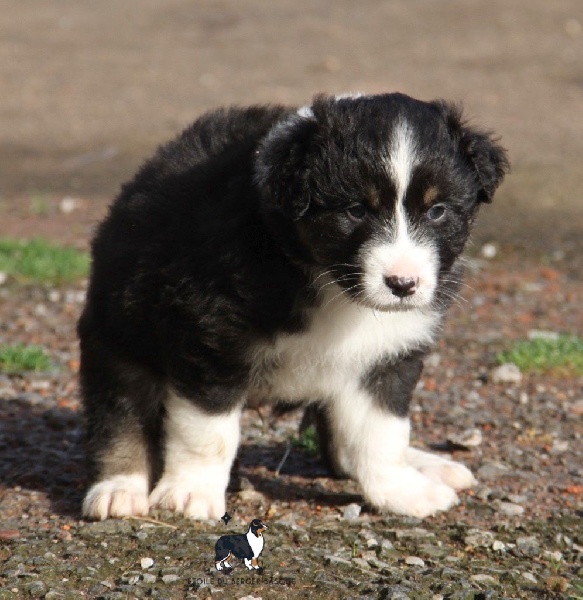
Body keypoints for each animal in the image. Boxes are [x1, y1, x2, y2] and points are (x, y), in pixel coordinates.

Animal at [78, 92, 509, 521]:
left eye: (437, 211)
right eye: (356, 210)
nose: (403, 284)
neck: (327, 282)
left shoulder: (387, 355)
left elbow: (381, 432)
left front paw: (402, 491)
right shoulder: (211, 340)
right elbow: (207, 432)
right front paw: (190, 493)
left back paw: (429, 464)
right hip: (120, 338)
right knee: (120, 418)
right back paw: (119, 490)